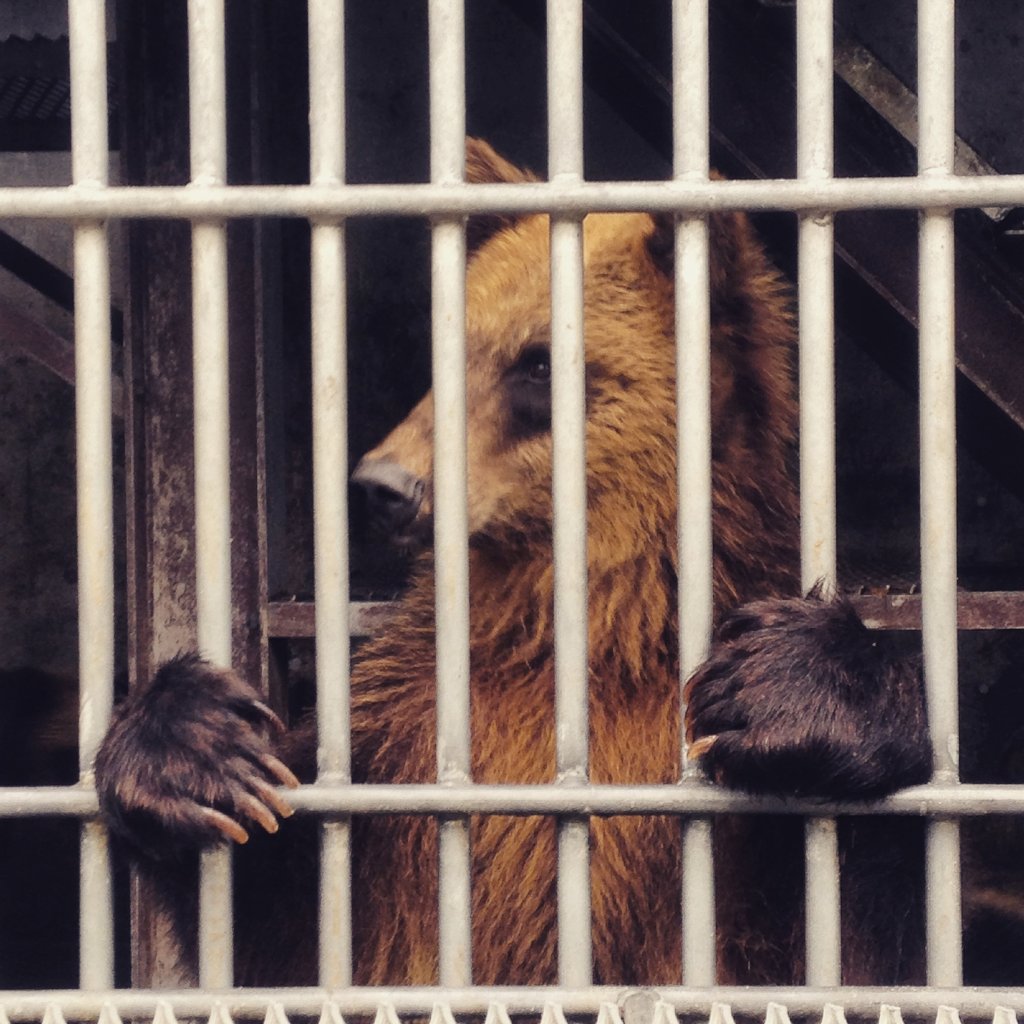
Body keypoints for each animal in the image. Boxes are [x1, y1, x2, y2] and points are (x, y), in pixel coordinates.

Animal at [95, 138, 932, 989]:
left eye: (537, 364)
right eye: (446, 353)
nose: (385, 487)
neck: (592, 619)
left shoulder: (725, 833)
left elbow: (860, 930)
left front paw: (789, 684)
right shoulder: (401, 738)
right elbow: (278, 885)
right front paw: (197, 749)